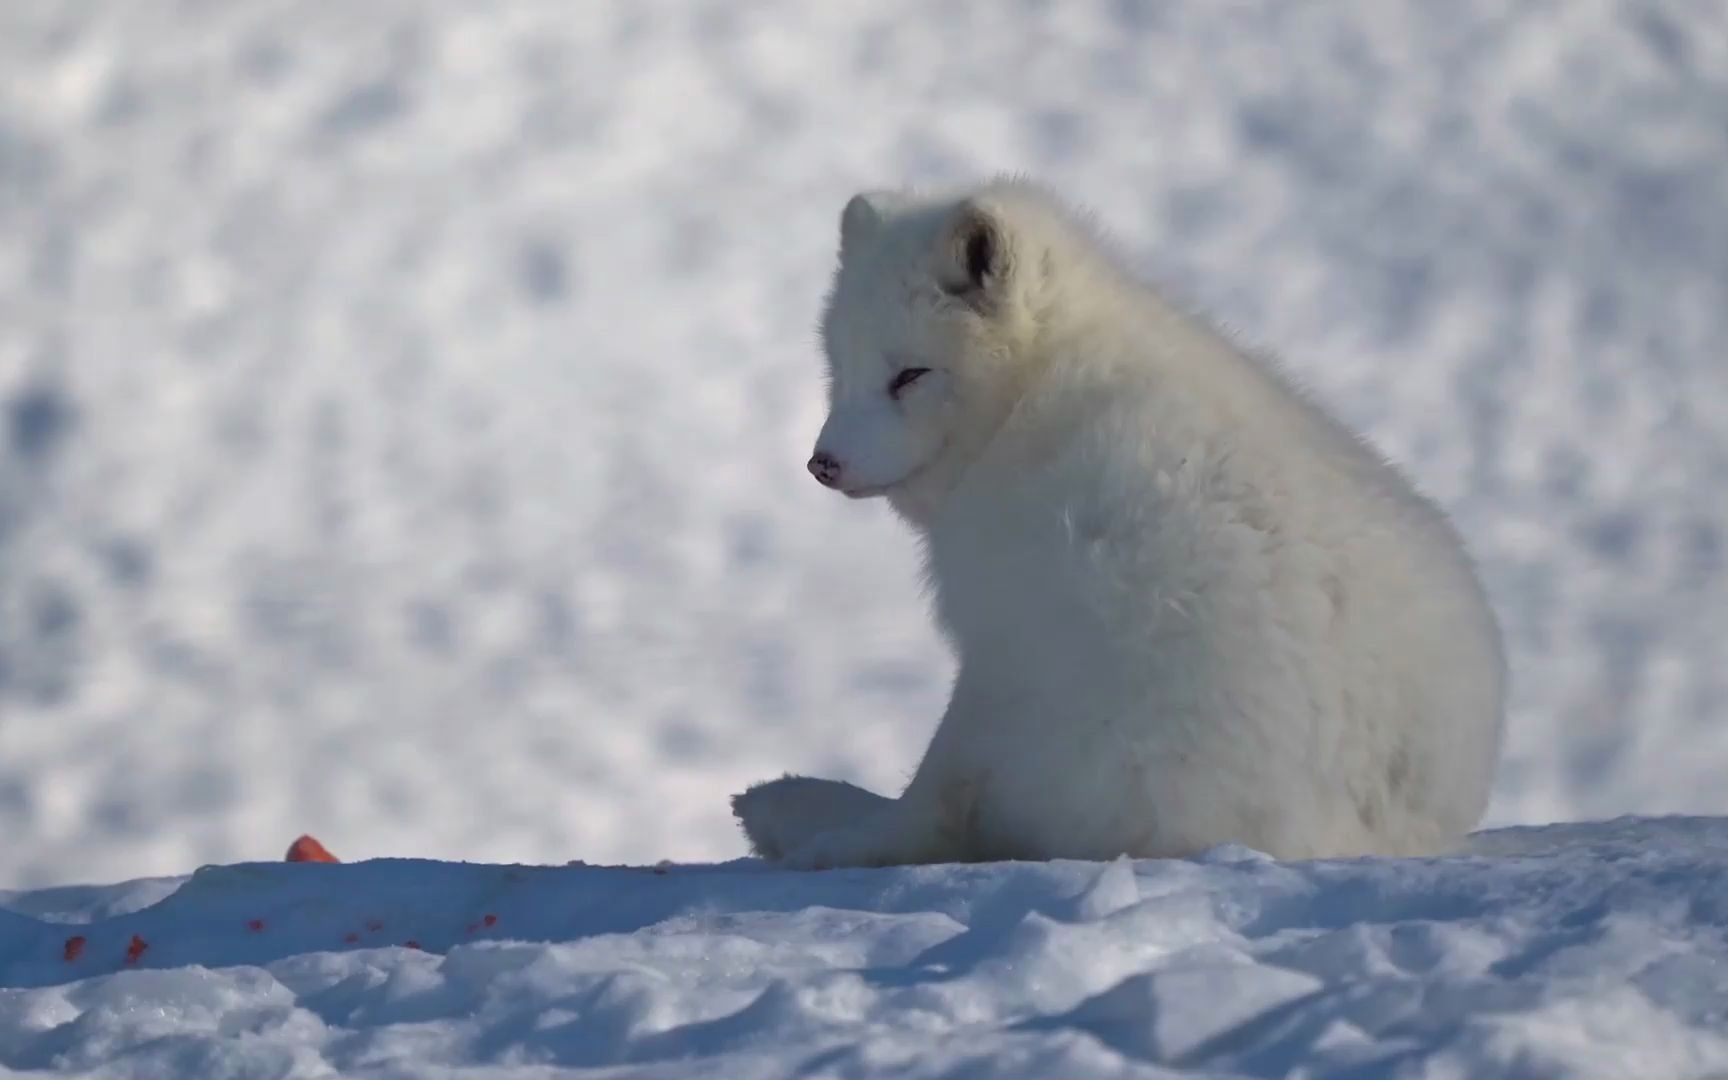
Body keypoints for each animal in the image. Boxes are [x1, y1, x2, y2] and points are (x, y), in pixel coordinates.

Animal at [736, 178, 1506, 867]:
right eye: (842, 368)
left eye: (911, 376)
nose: (822, 464)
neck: (1032, 391)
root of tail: (1367, 832)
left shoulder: (1001, 633)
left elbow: (934, 793)